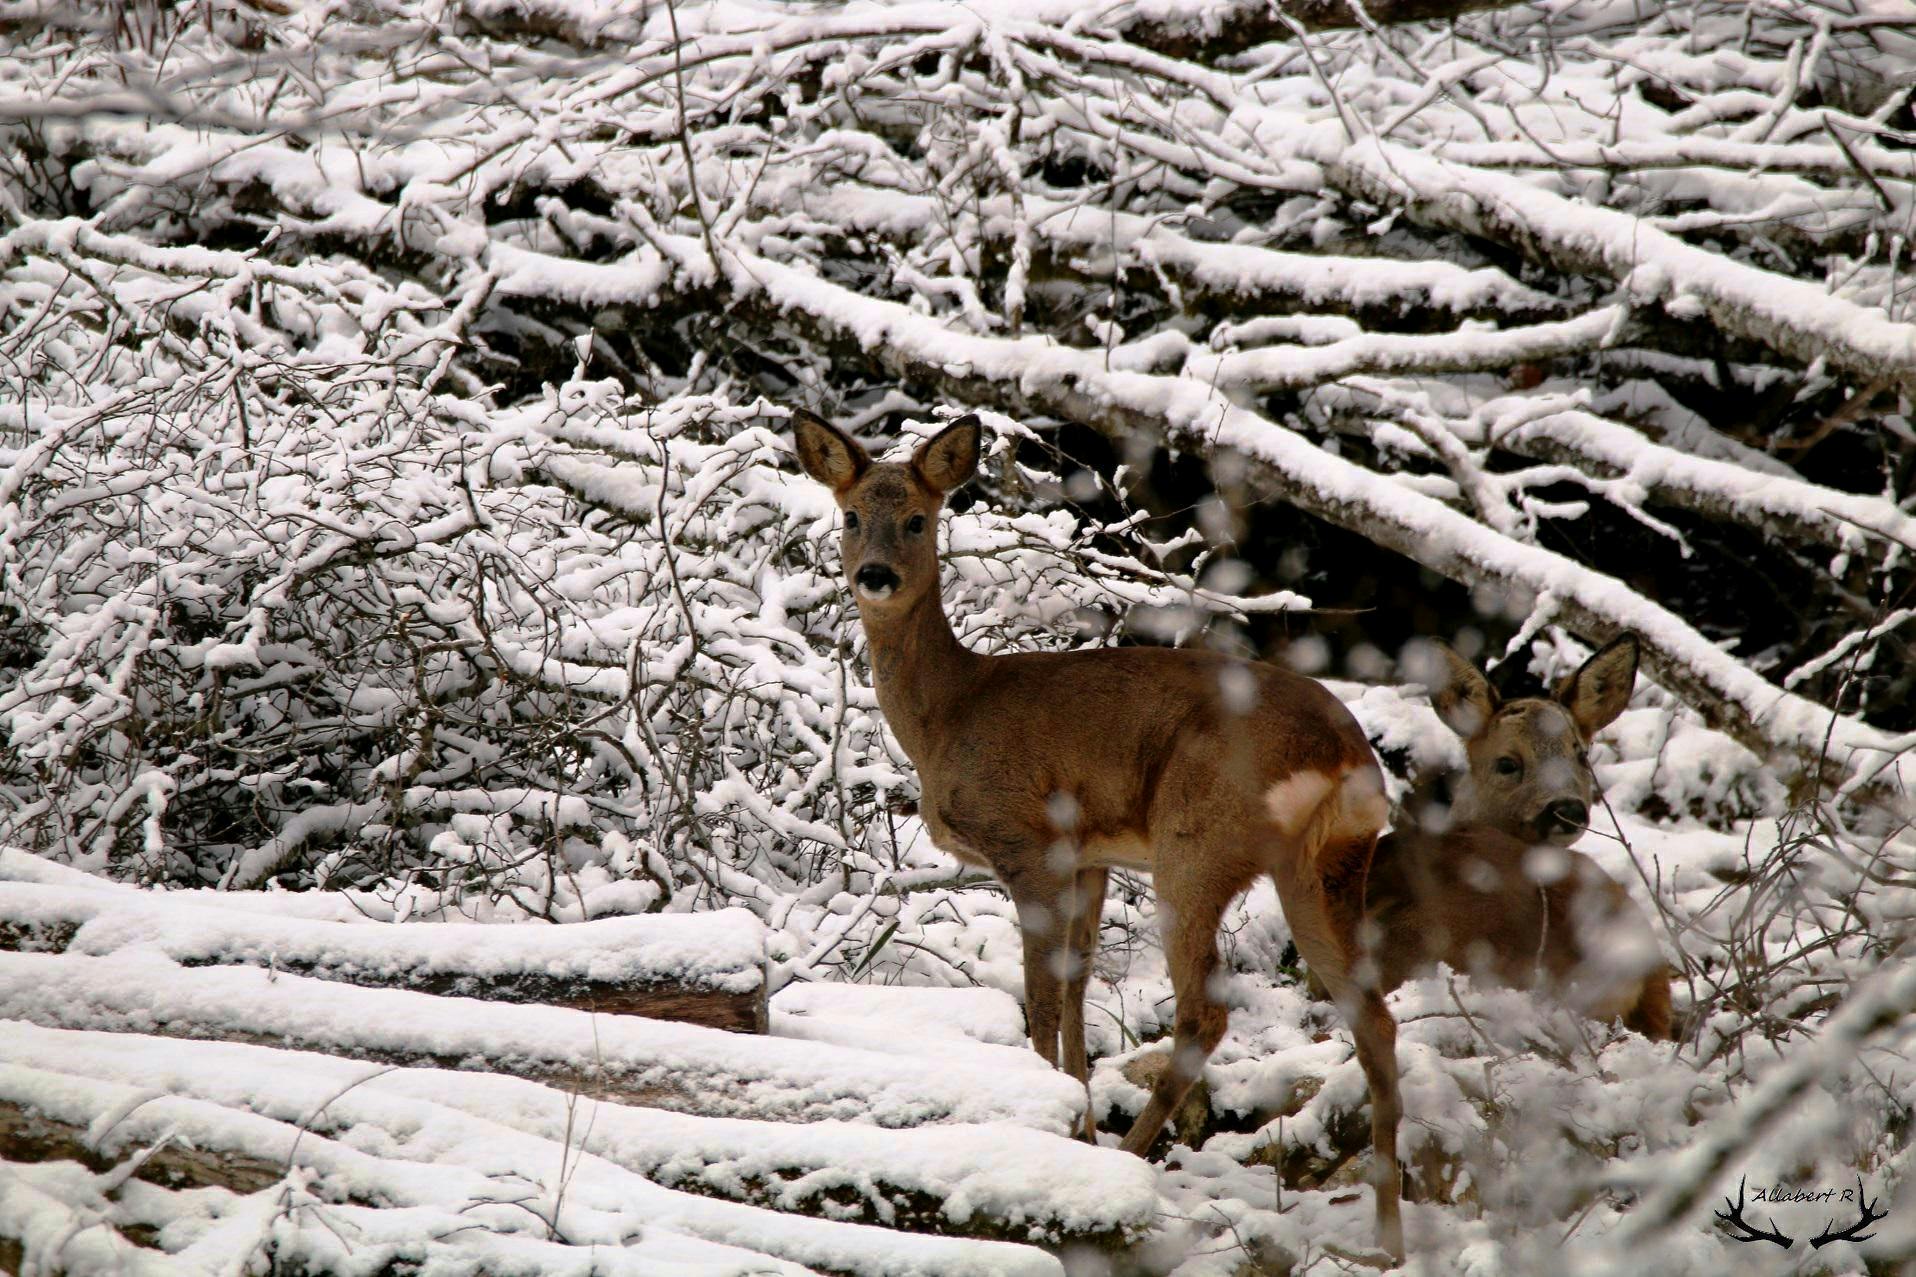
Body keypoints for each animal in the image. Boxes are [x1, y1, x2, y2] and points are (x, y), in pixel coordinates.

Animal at [793, 412, 1410, 1257]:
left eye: (917, 518)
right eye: (852, 515)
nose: (876, 575)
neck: (951, 714)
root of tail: (1348, 755)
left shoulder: (1026, 842)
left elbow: (1042, 997)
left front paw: (1053, 1130)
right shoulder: (1089, 857)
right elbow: (1079, 989)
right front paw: (1076, 1125)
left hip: (1195, 844)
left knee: (1206, 1011)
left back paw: (1136, 1161)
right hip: (1325, 866)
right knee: (1373, 1014)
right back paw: (1388, 1236)